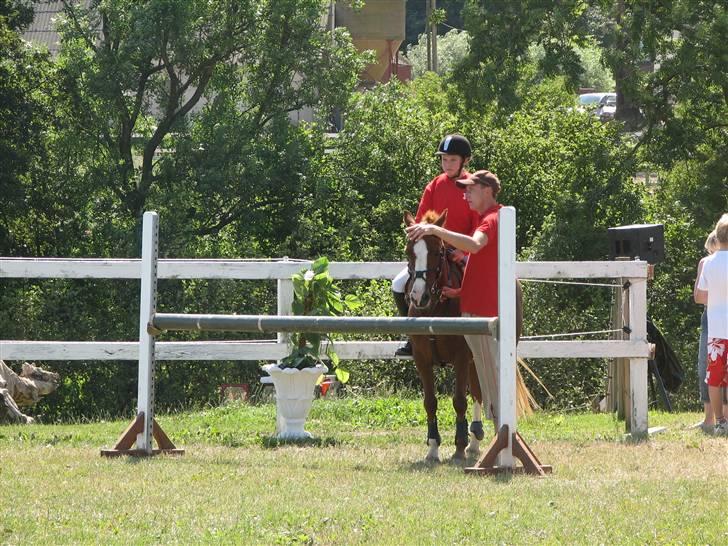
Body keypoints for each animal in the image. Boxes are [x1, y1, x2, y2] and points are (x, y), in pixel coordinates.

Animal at [404, 208, 524, 460]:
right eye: (409, 251)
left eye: (438, 251)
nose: (418, 297)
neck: (435, 309)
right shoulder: (422, 359)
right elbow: (430, 402)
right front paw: (433, 446)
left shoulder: (461, 357)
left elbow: (460, 401)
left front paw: (459, 445)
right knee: (479, 391)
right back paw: (475, 440)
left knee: (481, 393)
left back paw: (476, 439)